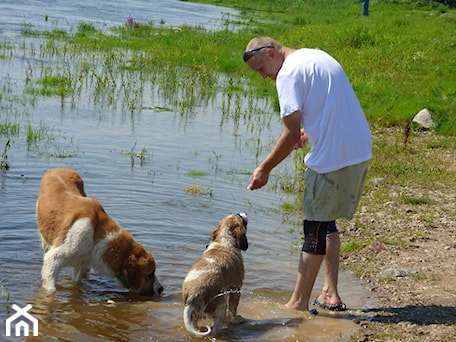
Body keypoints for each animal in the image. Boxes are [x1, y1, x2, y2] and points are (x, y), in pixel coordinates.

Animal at [36, 167, 164, 296]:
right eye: (150, 273)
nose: (161, 289)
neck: (96, 238)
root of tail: (56, 168)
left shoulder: (81, 261)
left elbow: (77, 281)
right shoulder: (53, 259)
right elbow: (51, 289)